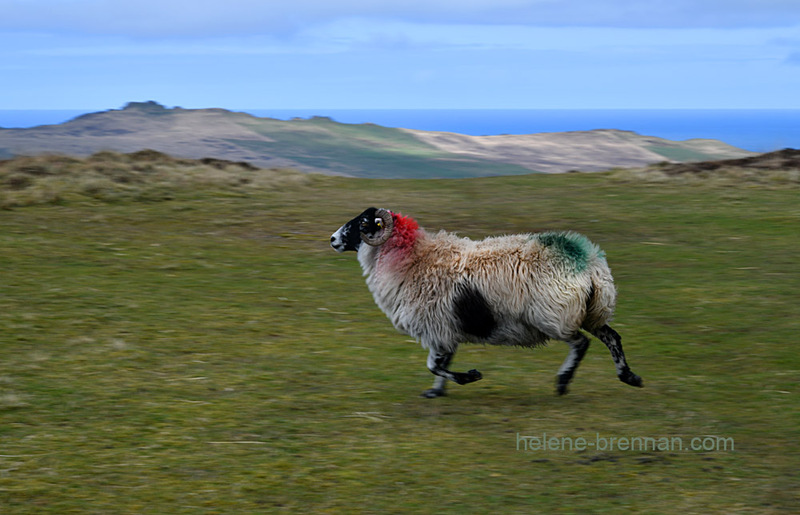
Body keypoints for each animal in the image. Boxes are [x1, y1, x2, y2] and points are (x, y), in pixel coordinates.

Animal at [332, 208, 644, 398]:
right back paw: (629, 377)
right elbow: (440, 363)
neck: (413, 259)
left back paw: (563, 381)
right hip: (591, 313)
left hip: (555, 316)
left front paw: (469, 377)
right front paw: (437, 392)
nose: (333, 239)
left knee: (581, 343)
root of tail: (587, 261)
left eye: (363, 223)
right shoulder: (445, 331)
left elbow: (434, 365)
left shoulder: (435, 328)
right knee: (612, 337)